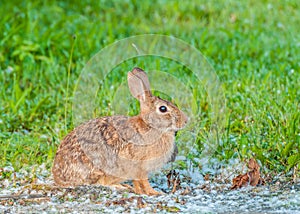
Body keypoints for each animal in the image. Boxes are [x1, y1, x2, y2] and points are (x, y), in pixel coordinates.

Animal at [51, 67, 188, 196]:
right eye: (163, 109)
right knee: (101, 182)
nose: (185, 120)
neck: (150, 126)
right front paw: (154, 192)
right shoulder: (139, 165)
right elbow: (143, 181)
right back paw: (121, 187)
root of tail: (58, 176)